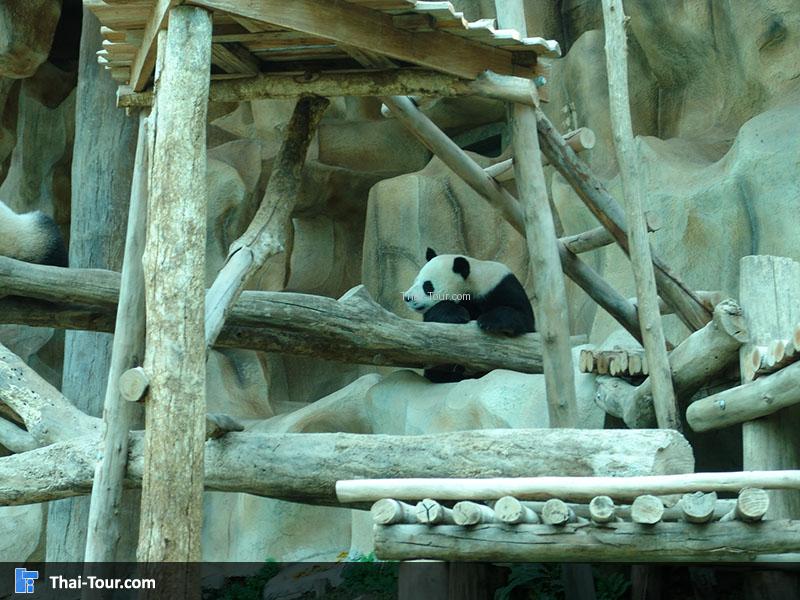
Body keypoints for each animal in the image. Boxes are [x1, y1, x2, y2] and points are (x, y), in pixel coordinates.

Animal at [403, 248, 535, 382]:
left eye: (427, 286)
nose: (407, 297)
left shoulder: (502, 285)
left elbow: (523, 317)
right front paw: (457, 315)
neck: (473, 282)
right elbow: (434, 317)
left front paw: (489, 321)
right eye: (415, 280)